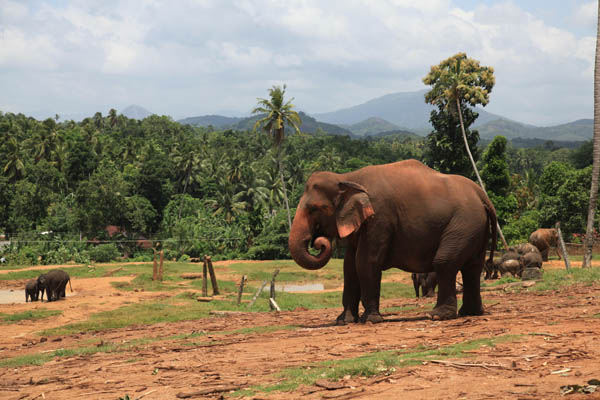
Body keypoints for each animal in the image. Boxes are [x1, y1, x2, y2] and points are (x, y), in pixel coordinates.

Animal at [286, 158, 496, 324]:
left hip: (464, 223)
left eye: (315, 208)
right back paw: (470, 313)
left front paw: (370, 320)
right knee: (473, 267)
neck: (348, 177)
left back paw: (437, 315)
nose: (318, 241)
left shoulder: (379, 218)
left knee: (445, 262)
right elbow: (349, 267)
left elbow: (366, 262)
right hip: (475, 227)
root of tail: (482, 195)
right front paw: (343, 321)